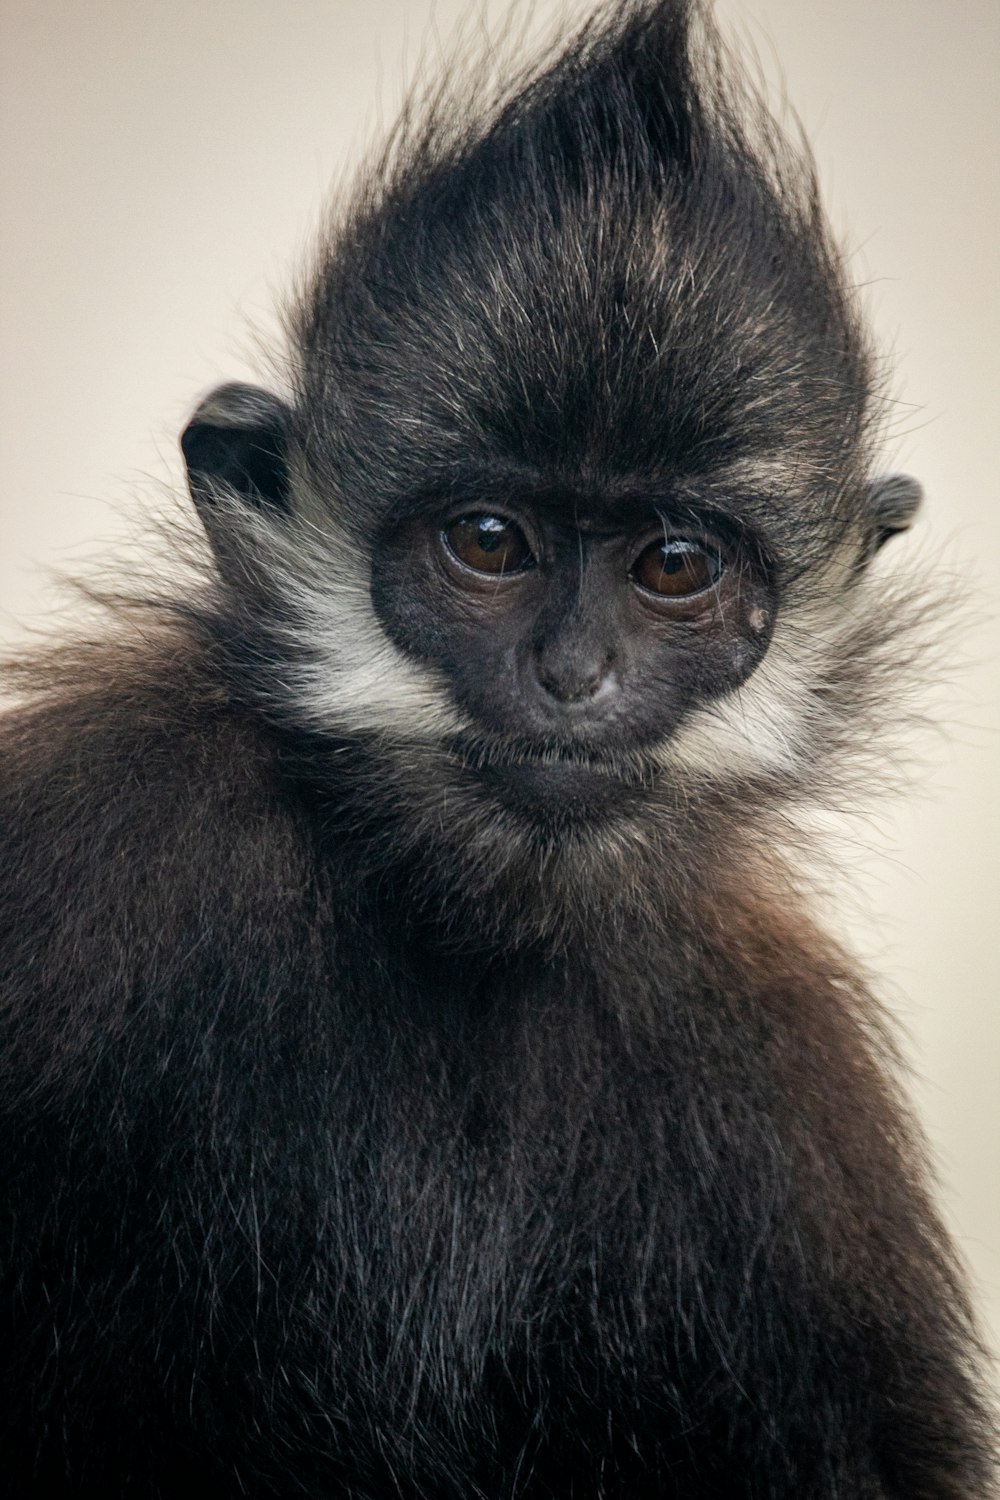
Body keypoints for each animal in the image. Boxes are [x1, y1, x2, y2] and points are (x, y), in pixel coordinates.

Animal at [0, 0, 995, 1494]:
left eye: (674, 567)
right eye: (489, 544)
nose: (572, 679)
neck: (465, 932)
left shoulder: (781, 1057)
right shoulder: (105, 834)